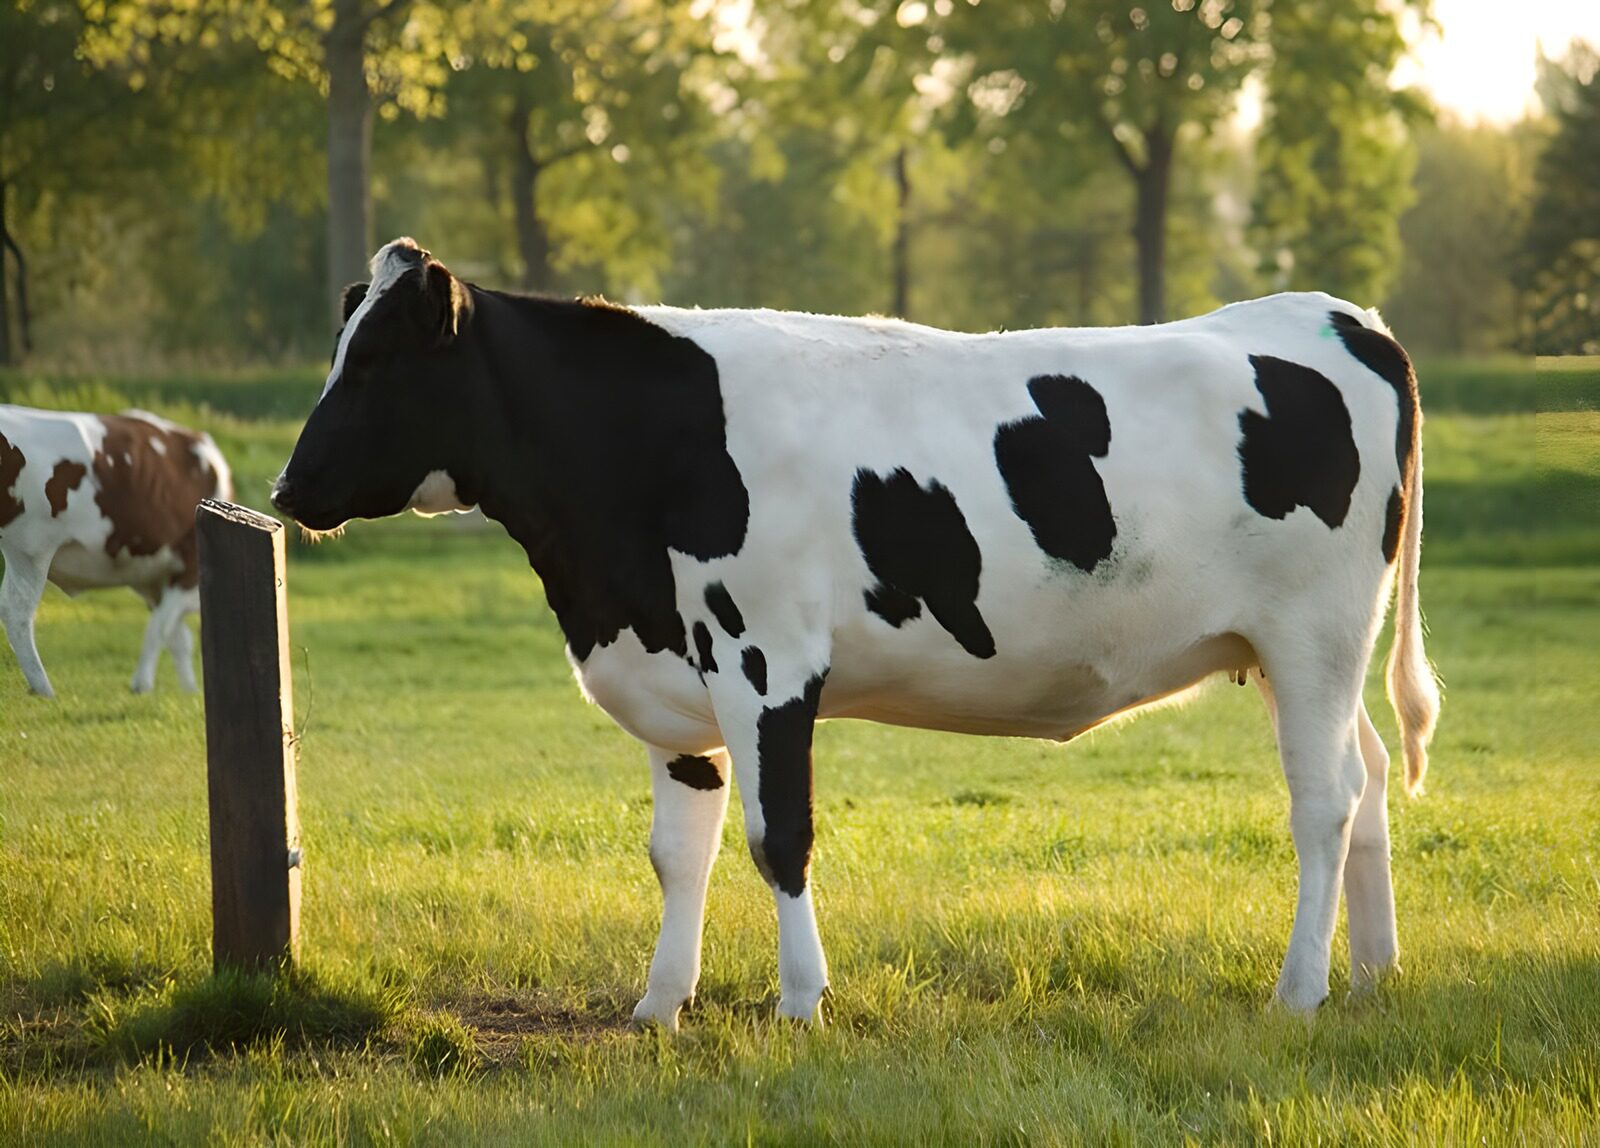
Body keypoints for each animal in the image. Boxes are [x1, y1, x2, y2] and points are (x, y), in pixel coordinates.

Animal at [0, 405, 233, 698]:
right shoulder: (189, 568)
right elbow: (161, 627)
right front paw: (142, 685)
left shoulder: (154, 580)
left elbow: (178, 637)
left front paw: (188, 691)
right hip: (31, 548)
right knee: (17, 610)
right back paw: (44, 689)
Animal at [272, 238, 1440, 1026]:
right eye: (339, 347)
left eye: (377, 361)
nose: (287, 487)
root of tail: (1339, 316)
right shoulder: (674, 683)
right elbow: (678, 850)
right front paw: (660, 1004)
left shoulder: (765, 662)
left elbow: (777, 837)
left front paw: (801, 1001)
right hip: (1301, 654)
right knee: (1373, 775)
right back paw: (1372, 971)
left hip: (1314, 629)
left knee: (1324, 800)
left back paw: (1300, 989)